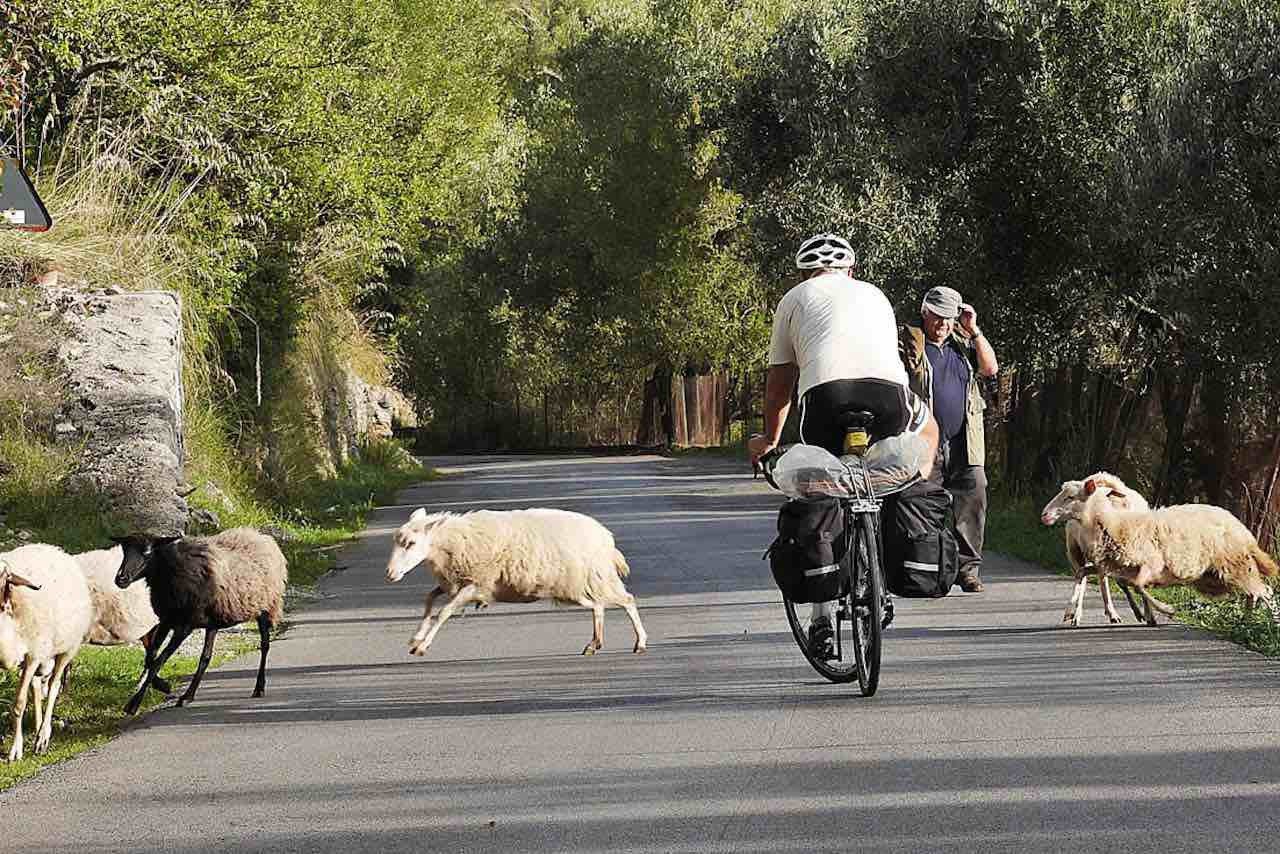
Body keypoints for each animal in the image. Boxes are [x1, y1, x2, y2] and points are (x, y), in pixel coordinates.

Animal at [0, 547, 92, 763]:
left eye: (4, 578)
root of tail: (55, 549)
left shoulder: (33, 655)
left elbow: (19, 704)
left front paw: (15, 751)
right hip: (42, 656)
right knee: (36, 688)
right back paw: (37, 730)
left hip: (65, 649)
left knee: (53, 687)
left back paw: (43, 737)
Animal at [113, 527, 288, 717]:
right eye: (124, 551)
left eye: (147, 552)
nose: (121, 579)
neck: (169, 571)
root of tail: (263, 537)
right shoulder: (167, 620)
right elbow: (150, 657)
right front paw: (163, 686)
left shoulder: (184, 626)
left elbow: (158, 661)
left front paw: (134, 704)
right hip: (213, 621)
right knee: (206, 657)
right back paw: (188, 696)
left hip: (265, 607)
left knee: (264, 645)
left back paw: (259, 687)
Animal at [381, 512, 645, 660]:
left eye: (411, 543)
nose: (390, 574)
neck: (451, 543)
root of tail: (605, 538)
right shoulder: (453, 584)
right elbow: (429, 600)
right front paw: (415, 638)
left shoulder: (476, 583)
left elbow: (444, 612)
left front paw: (422, 646)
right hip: (577, 586)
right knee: (598, 606)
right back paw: (593, 644)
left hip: (593, 578)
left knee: (626, 600)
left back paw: (639, 642)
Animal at [1034, 473, 1172, 627]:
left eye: (1070, 497)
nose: (1044, 515)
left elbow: (1136, 585)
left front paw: (1152, 613)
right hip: (1077, 552)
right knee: (1088, 578)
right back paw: (1083, 614)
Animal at [1080, 478, 1280, 617]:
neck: (1115, 524)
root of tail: (1246, 533)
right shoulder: (1120, 567)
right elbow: (1125, 582)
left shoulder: (1152, 563)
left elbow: (1136, 585)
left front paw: (1165, 610)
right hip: (1218, 577)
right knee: (1254, 594)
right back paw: (1247, 621)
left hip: (1236, 566)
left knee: (1265, 592)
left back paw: (1266, 621)